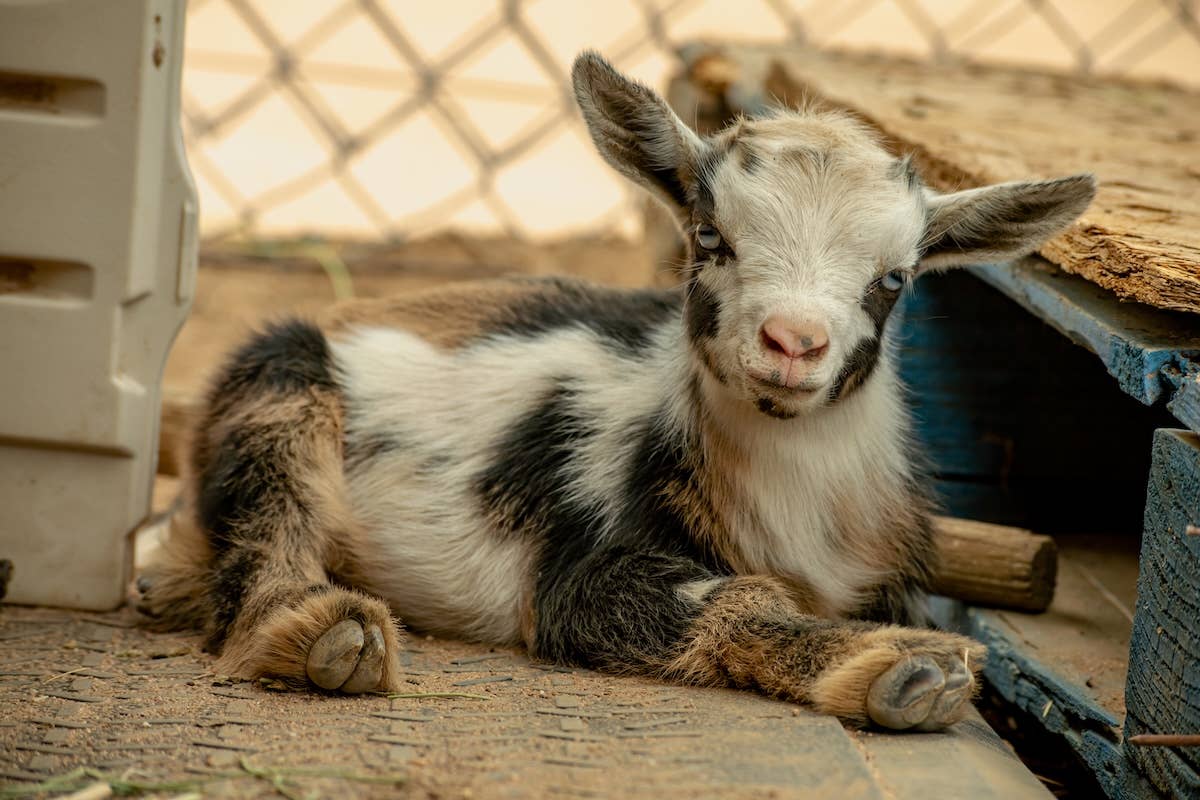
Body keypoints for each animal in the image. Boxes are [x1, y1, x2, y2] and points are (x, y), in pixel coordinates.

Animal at [138, 52, 1095, 730]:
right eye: (710, 237)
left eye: (895, 280)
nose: (793, 343)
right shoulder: (580, 574)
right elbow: (733, 598)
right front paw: (903, 671)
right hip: (280, 385)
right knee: (273, 518)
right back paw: (319, 632)